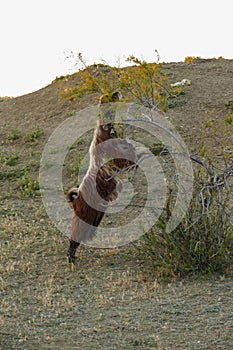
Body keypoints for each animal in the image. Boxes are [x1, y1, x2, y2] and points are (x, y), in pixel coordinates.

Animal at [66, 91, 137, 264]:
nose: (118, 92)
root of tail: (76, 198)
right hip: (85, 216)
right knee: (74, 237)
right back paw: (71, 255)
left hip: (95, 216)